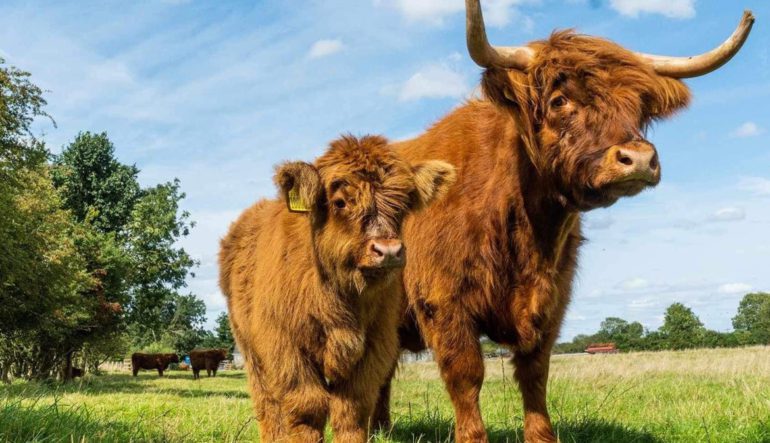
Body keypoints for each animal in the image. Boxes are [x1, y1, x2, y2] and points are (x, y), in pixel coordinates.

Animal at [219, 135, 455, 442]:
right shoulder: (286, 348)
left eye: (402, 204)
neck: (341, 300)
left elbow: (351, 409)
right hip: (250, 349)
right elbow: (307, 407)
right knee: (266, 401)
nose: (388, 251)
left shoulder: (375, 346)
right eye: (340, 202)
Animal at [371, 2, 755, 442]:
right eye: (558, 101)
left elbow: (535, 376)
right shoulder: (444, 302)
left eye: (639, 107)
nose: (640, 159)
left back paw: (380, 429)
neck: (528, 232)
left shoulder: (551, 303)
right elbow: (466, 376)